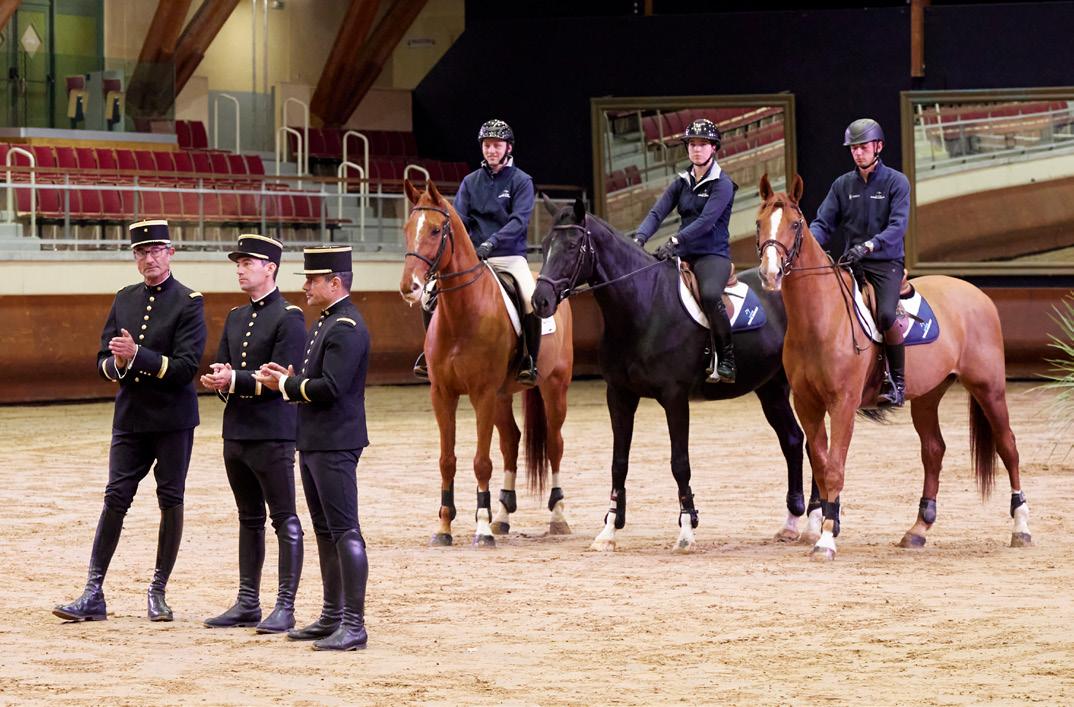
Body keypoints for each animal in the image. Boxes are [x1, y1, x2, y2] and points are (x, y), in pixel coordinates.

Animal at [399, 180, 575, 547]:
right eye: (408, 229)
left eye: (435, 230)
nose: (411, 287)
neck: (462, 312)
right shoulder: (443, 394)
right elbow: (447, 461)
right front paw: (444, 527)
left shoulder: (481, 394)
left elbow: (481, 462)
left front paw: (480, 527)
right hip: (502, 396)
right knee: (511, 441)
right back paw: (503, 516)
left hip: (554, 387)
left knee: (554, 444)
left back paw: (557, 516)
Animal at [530, 197, 808, 553]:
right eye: (545, 245)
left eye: (571, 245)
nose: (540, 300)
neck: (644, 306)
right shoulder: (619, 395)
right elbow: (618, 462)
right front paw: (609, 529)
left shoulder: (675, 397)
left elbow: (680, 463)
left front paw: (687, 529)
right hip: (770, 388)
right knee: (793, 439)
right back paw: (792, 522)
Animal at [755, 173, 1032, 560]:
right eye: (758, 223)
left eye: (795, 224)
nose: (769, 273)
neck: (820, 318)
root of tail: (977, 294)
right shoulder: (807, 405)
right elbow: (822, 466)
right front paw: (829, 525)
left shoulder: (842, 404)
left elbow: (835, 468)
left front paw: (826, 539)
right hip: (929, 395)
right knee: (934, 451)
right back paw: (918, 529)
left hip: (988, 388)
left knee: (1008, 447)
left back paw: (1021, 528)